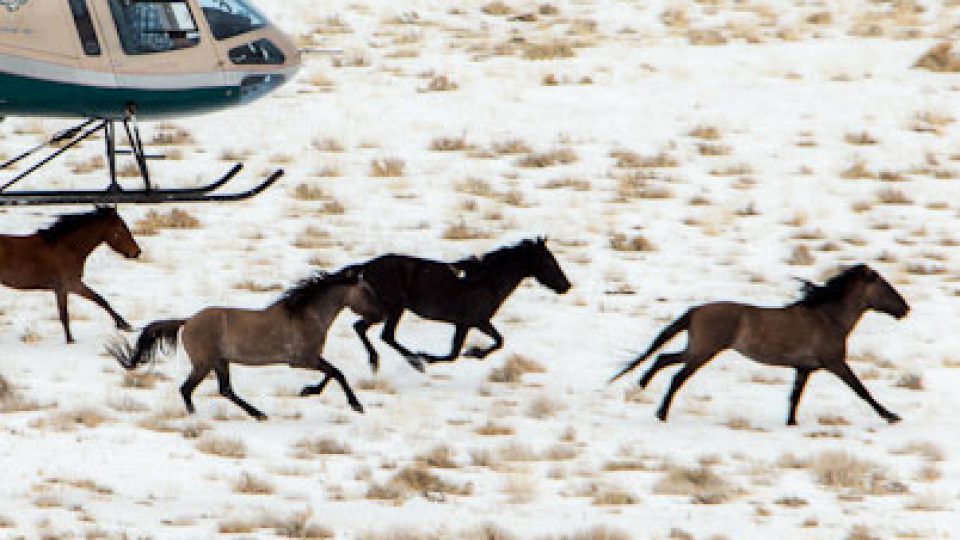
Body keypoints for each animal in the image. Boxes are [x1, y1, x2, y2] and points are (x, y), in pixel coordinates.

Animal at [0, 206, 140, 343]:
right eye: (122, 228)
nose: (137, 252)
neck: (68, 248)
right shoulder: (66, 286)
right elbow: (65, 314)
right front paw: (70, 340)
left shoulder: (73, 286)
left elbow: (100, 300)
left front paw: (125, 325)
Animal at [108, 268, 384, 420]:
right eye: (367, 290)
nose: (380, 316)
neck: (305, 315)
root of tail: (188, 321)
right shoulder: (303, 360)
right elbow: (337, 373)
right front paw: (356, 405)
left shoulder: (310, 359)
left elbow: (332, 374)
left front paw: (308, 391)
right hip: (204, 363)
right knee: (188, 389)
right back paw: (198, 416)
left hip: (220, 362)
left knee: (225, 390)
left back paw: (258, 414)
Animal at [349, 237, 571, 372]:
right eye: (550, 261)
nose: (566, 286)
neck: (487, 282)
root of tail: (366, 267)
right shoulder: (470, 322)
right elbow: (456, 354)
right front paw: (465, 353)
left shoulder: (475, 322)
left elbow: (497, 341)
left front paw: (474, 353)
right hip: (392, 308)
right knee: (381, 334)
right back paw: (414, 361)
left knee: (365, 329)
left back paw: (382, 361)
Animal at [610, 264, 909, 426]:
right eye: (885, 286)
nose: (905, 309)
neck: (827, 318)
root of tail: (696, 311)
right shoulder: (835, 363)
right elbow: (862, 391)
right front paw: (891, 415)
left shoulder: (803, 368)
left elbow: (794, 397)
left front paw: (791, 423)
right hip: (704, 352)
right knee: (676, 376)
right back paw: (661, 413)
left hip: (696, 349)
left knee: (663, 358)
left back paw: (642, 386)